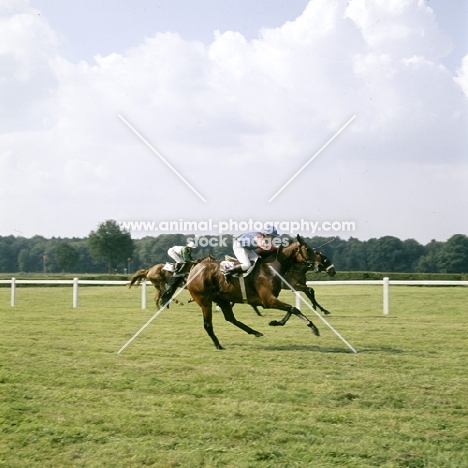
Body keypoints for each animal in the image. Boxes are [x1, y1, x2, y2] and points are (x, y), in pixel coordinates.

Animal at [186, 236, 322, 350]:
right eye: (308, 249)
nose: (319, 265)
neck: (271, 268)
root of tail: (194, 269)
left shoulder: (272, 299)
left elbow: (291, 309)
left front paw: (276, 322)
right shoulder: (268, 300)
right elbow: (294, 309)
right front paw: (313, 327)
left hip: (222, 299)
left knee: (231, 318)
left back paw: (255, 332)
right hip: (205, 301)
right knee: (208, 325)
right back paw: (218, 345)